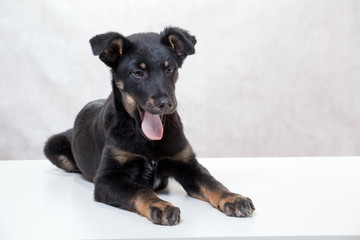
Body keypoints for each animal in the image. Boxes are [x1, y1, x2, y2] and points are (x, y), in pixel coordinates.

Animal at [43, 27, 255, 226]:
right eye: (138, 73)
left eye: (169, 69)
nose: (166, 103)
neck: (146, 139)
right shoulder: (107, 178)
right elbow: (139, 190)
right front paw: (160, 205)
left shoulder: (188, 165)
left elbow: (212, 182)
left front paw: (232, 197)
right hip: (53, 145)